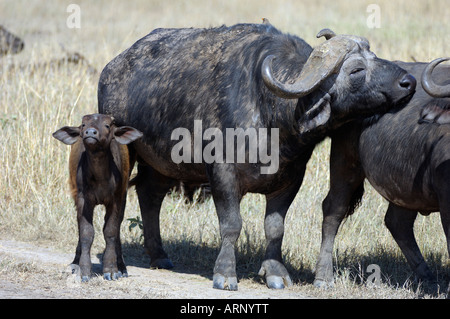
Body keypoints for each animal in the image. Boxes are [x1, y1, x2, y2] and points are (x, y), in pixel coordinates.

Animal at [53, 114, 143, 282]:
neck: (100, 175)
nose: (90, 132)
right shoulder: (83, 200)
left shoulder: (116, 200)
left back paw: (121, 266)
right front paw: (83, 270)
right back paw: (75, 263)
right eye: (83, 125)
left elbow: (111, 231)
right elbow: (86, 233)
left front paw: (112, 270)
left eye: (107, 125)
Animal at [98, 23, 414, 292]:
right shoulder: (222, 173)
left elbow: (275, 227)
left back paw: (159, 255)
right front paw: (225, 274)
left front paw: (275, 273)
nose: (408, 81)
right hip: (128, 151)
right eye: (357, 70)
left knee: (150, 194)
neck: (271, 114)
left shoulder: (291, 177)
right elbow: (232, 224)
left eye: (375, 56)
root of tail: (112, 68)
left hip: (163, 164)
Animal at [316, 57, 450, 290]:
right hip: (346, 162)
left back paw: (426, 275)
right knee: (334, 210)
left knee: (397, 222)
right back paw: (323, 277)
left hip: (406, 189)